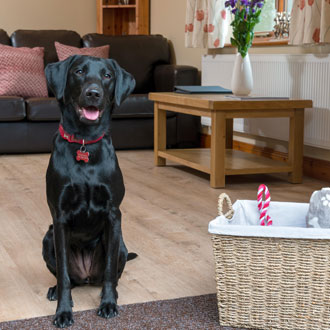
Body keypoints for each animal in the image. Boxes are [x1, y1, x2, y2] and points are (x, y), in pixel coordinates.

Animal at [42, 54, 135, 328]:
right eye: (79, 71)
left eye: (107, 75)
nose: (93, 93)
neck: (85, 143)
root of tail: (86, 276)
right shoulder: (59, 218)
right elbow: (63, 273)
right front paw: (63, 312)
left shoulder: (114, 215)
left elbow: (109, 271)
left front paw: (108, 304)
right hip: (48, 237)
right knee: (68, 278)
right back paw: (56, 290)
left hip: (121, 244)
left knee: (110, 275)